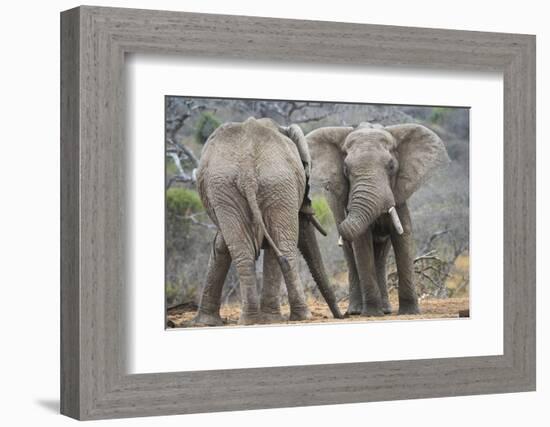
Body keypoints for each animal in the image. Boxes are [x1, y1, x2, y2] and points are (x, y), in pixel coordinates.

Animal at [192, 118, 342, 326]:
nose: (341, 316)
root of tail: (246, 171)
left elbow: (221, 245)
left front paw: (205, 322)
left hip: (236, 189)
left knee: (245, 250)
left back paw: (252, 319)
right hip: (272, 185)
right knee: (282, 246)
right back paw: (297, 317)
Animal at [308, 122, 450, 316]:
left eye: (391, 166)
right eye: (345, 169)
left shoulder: (399, 195)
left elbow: (403, 237)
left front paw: (410, 312)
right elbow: (361, 243)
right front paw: (372, 314)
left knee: (382, 255)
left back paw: (386, 310)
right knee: (350, 254)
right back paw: (357, 311)